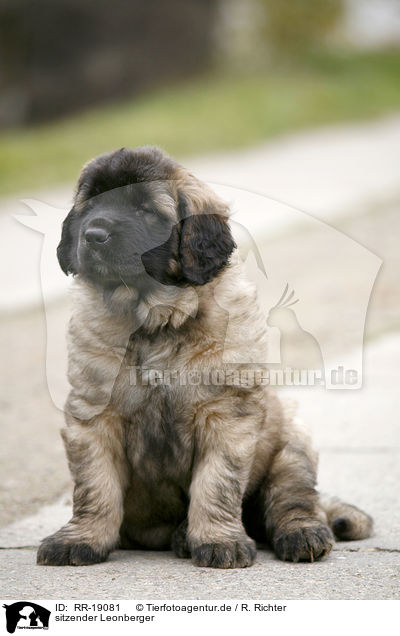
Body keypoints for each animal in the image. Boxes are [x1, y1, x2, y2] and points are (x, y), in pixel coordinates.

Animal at [36, 147, 372, 568]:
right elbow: (94, 486)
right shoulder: (95, 416)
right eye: (91, 204)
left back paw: (301, 533)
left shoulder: (226, 415)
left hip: (292, 442)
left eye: (146, 211)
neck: (156, 323)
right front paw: (80, 539)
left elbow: (216, 484)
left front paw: (218, 540)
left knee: (293, 499)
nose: (93, 235)